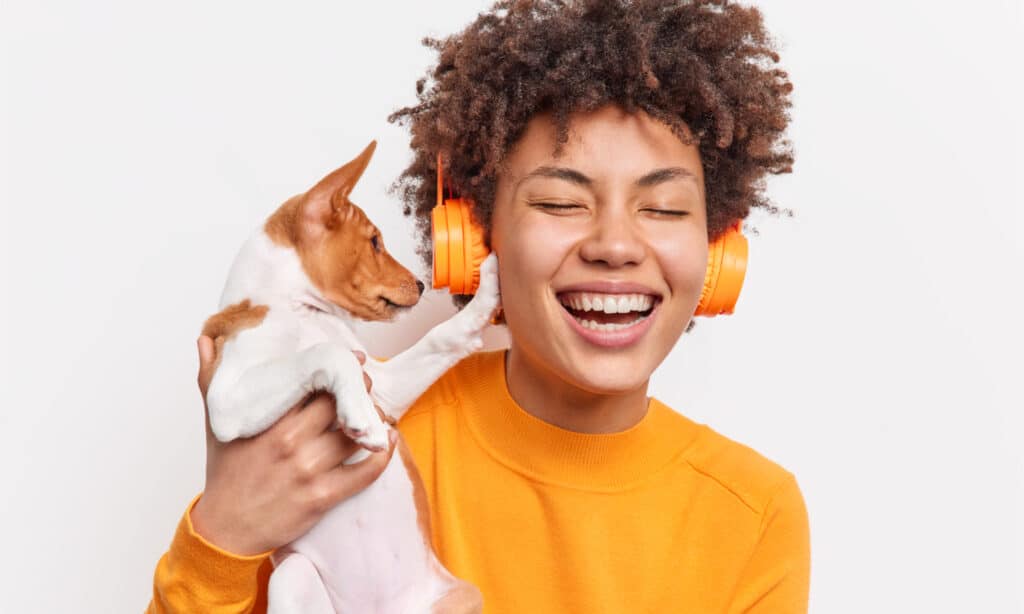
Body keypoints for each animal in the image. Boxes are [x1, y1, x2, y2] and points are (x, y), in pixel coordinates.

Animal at [198, 140, 495, 614]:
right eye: (374, 241)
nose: (420, 284)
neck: (295, 310)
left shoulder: (383, 388)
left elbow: (443, 337)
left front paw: (488, 289)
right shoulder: (226, 400)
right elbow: (328, 353)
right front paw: (360, 421)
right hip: (293, 574)